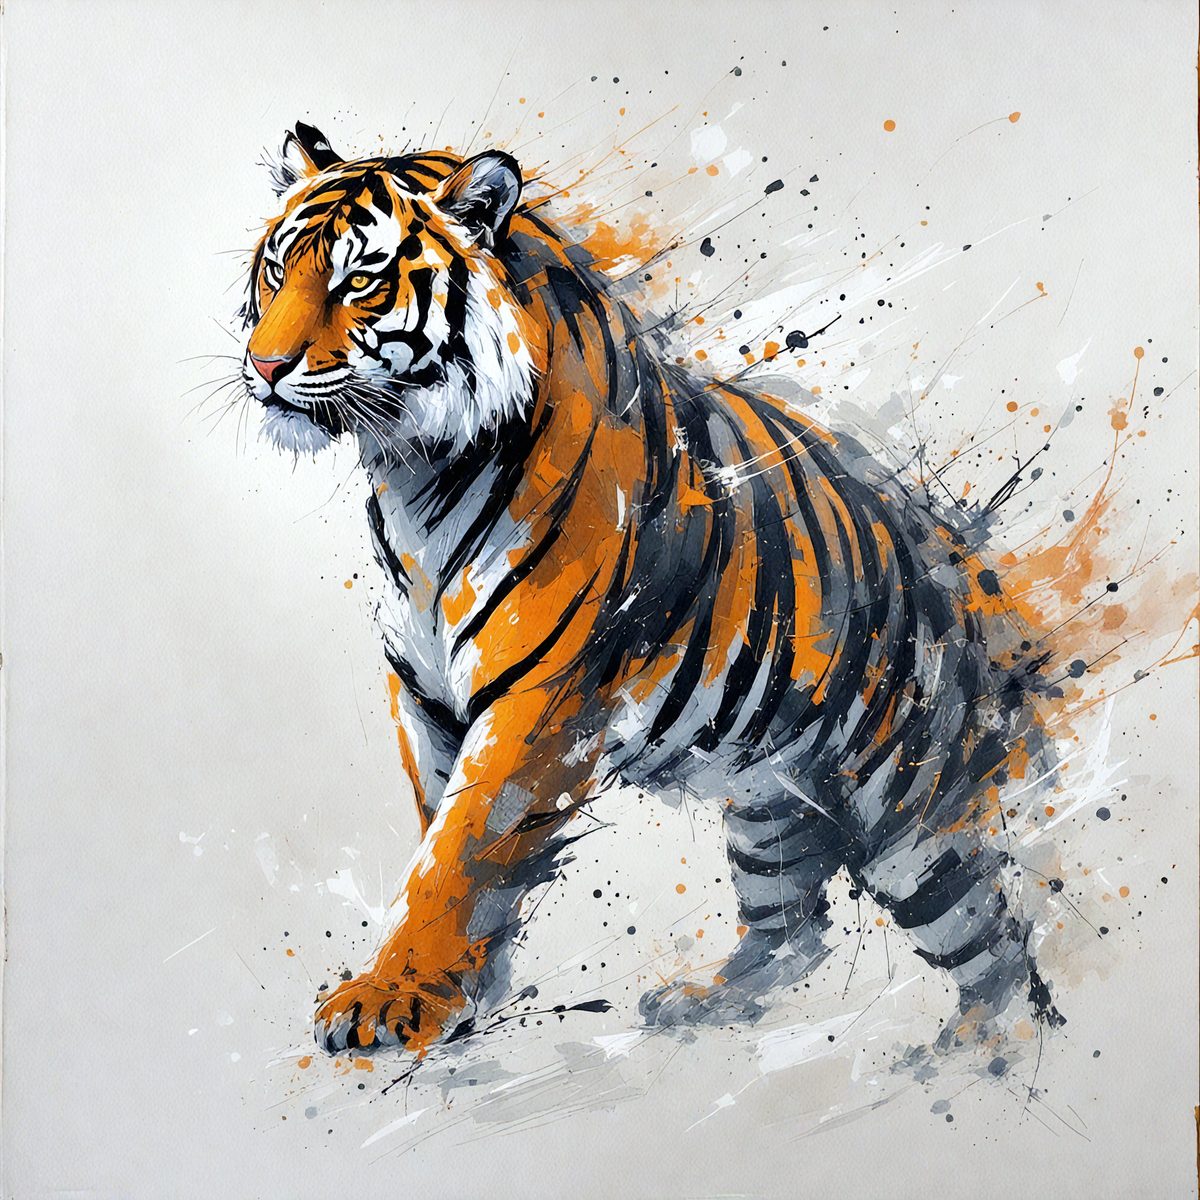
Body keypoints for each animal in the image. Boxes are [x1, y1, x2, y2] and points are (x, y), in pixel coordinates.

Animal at [237, 121, 1064, 1058]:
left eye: (360, 280)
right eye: (278, 270)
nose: (265, 364)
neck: (410, 473)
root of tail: (955, 560)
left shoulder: (537, 703)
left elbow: (461, 853)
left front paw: (389, 1000)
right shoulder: (425, 698)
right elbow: (438, 835)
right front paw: (462, 993)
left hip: (907, 809)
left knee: (991, 942)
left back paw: (972, 1053)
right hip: (765, 797)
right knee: (794, 921)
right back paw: (705, 1004)